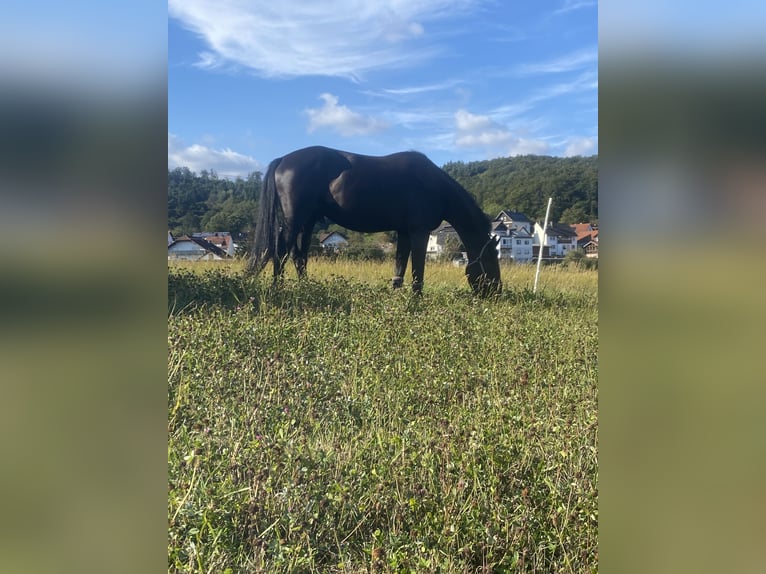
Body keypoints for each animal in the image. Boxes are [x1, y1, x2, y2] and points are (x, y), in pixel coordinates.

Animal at [246, 146, 508, 300]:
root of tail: (283, 160)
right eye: (490, 260)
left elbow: (400, 264)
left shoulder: (404, 232)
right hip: (295, 219)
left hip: (307, 221)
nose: (496, 292)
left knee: (299, 255)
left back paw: (307, 288)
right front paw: (416, 298)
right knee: (281, 251)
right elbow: (417, 268)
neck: (435, 186)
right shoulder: (419, 231)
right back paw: (279, 288)